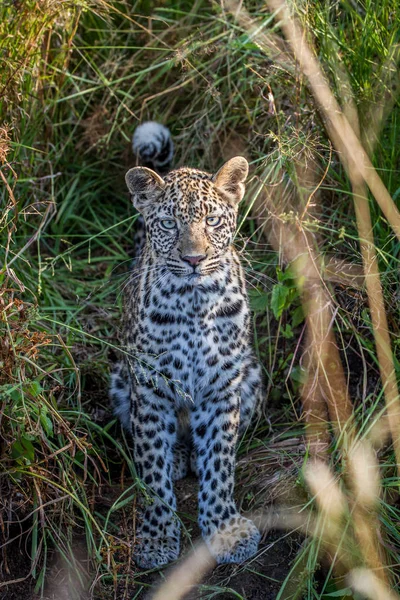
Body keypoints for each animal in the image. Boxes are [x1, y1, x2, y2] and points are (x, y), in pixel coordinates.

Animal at [109, 122, 262, 568]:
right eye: (168, 224)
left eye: (212, 220)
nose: (194, 259)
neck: (194, 301)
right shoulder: (150, 387)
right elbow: (151, 468)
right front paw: (157, 536)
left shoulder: (221, 387)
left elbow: (221, 462)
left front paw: (225, 529)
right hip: (122, 382)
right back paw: (179, 456)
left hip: (252, 377)